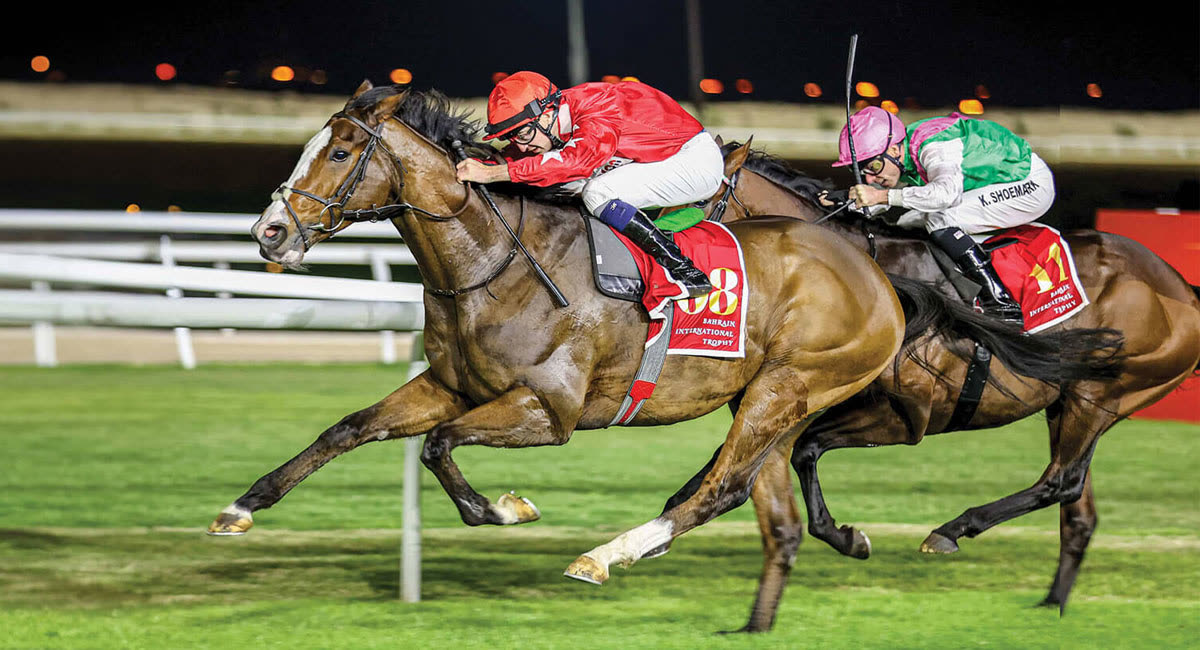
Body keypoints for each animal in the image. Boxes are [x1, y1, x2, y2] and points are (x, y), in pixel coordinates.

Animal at [206, 82, 910, 610]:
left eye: (341, 152)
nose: (269, 232)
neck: (493, 264)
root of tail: (873, 271)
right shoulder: (450, 386)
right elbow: (349, 428)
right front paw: (241, 507)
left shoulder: (549, 409)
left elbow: (438, 445)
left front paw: (504, 508)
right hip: (769, 398)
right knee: (751, 483)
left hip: (788, 387)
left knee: (724, 486)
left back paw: (603, 555)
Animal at [677, 144, 1200, 629]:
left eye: (695, 200)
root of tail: (1181, 287)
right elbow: (754, 454)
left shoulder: (910, 416)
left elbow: (804, 448)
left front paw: (846, 538)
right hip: (1066, 402)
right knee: (1078, 510)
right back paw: (1050, 604)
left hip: (1100, 396)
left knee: (1061, 481)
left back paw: (952, 530)